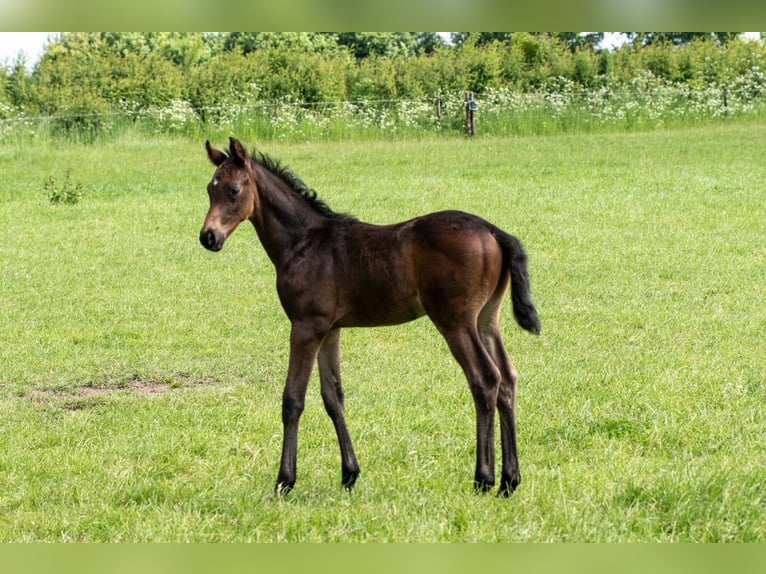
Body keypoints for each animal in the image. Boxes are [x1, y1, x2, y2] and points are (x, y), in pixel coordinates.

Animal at [201, 137, 544, 498]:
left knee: (486, 380)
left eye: (234, 190)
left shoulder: (306, 327)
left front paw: (285, 480)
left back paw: (484, 478)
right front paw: (349, 473)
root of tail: (494, 231)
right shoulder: (329, 330)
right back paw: (509, 479)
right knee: (508, 378)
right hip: (486, 320)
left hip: (456, 322)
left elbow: (293, 399)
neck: (303, 242)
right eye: (210, 189)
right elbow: (333, 397)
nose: (208, 237)